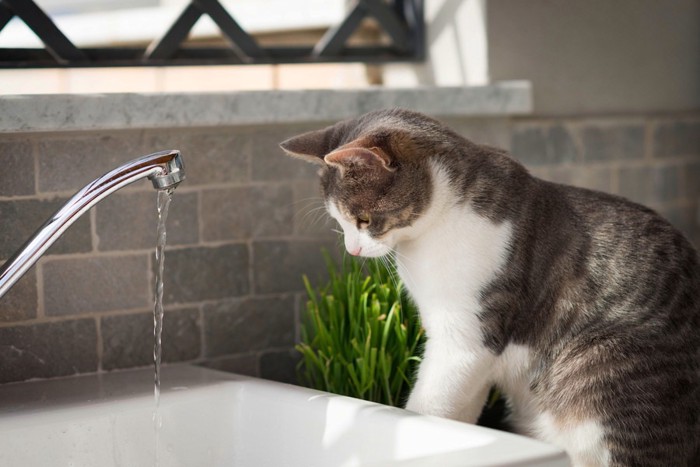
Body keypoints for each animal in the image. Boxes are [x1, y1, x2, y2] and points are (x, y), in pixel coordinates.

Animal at [280, 108, 700, 466]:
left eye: (363, 220)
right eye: (339, 221)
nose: (352, 248)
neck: (431, 234)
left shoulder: (466, 338)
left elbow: (429, 405)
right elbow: (458, 407)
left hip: (605, 372)